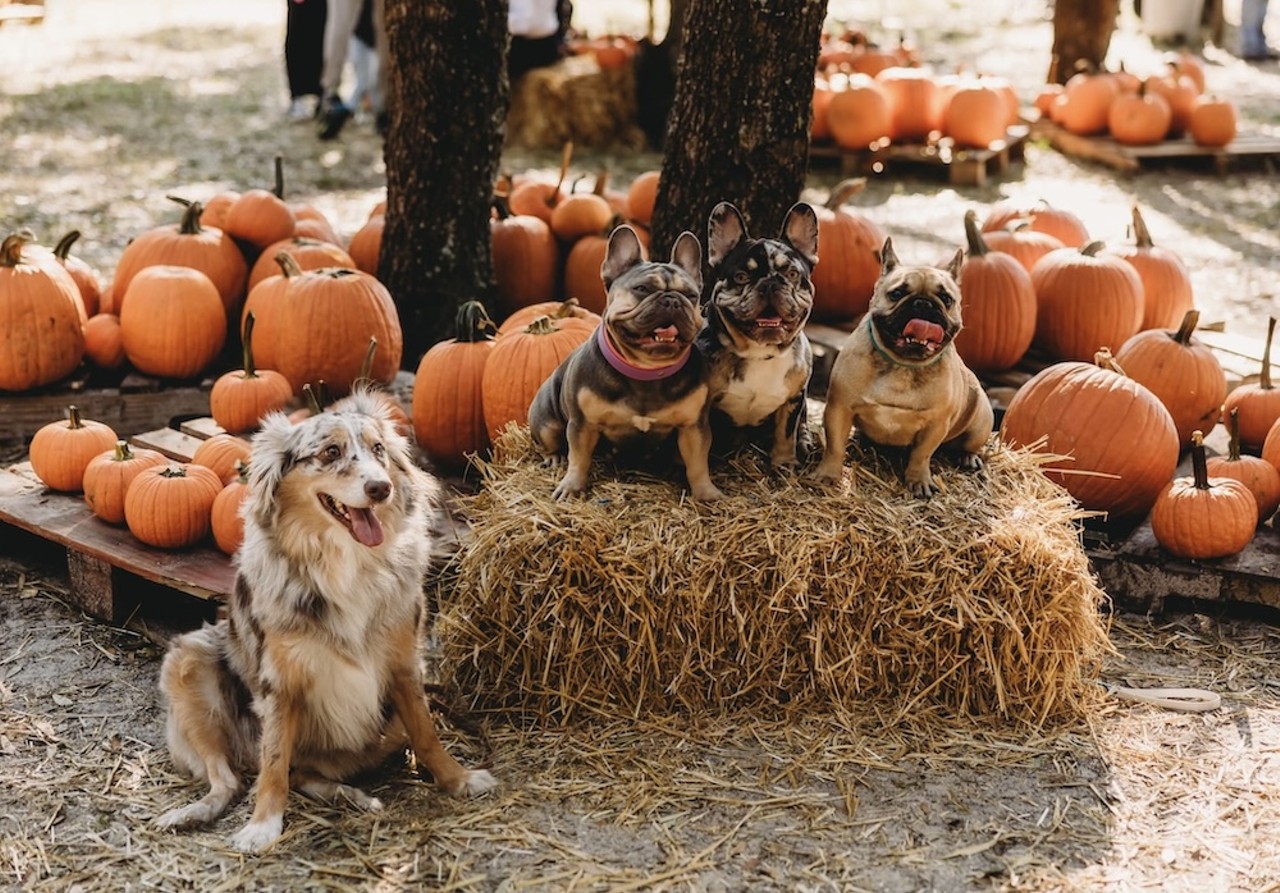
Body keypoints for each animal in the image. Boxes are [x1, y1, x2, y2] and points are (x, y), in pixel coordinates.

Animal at [153, 388, 494, 849]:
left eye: (378, 449)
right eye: (330, 452)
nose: (381, 488)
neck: (345, 562)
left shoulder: (405, 664)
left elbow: (427, 733)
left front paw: (458, 779)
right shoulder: (279, 683)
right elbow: (274, 761)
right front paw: (263, 826)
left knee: (299, 773)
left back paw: (350, 795)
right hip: (188, 661)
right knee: (233, 779)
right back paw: (191, 813)